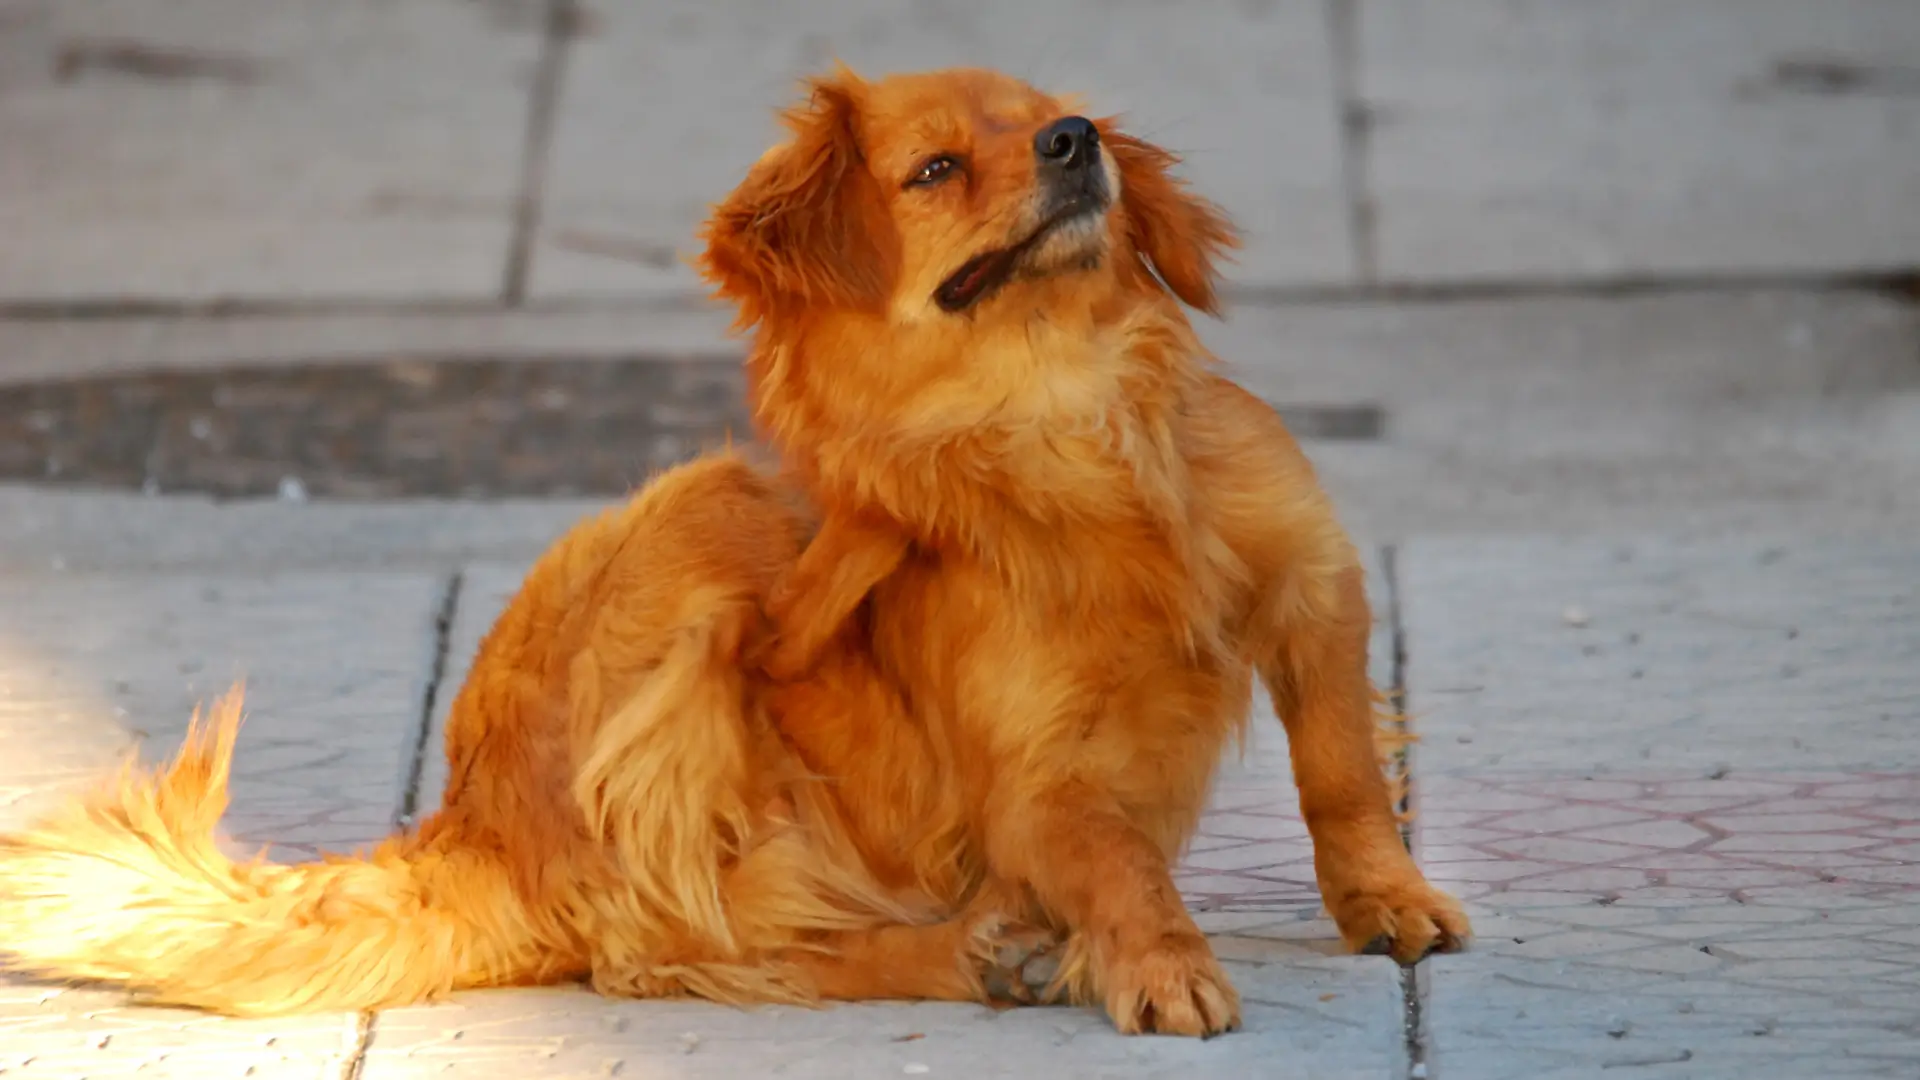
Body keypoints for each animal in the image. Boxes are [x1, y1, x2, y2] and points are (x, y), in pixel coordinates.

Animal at [0, 61, 1466, 1037]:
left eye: (1057, 115)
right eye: (938, 169)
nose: (1077, 137)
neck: (1070, 412)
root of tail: (472, 826)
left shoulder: (1315, 593)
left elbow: (1341, 769)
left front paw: (1383, 899)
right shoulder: (1033, 787)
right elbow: (1119, 860)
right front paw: (1160, 959)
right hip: (697, 534)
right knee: (690, 951)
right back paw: (961, 951)